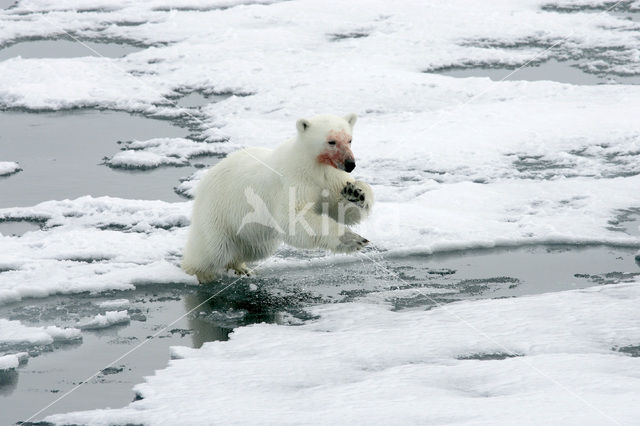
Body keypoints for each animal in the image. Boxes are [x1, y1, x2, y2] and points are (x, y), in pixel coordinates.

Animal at [180, 113, 372, 282]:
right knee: (213, 249)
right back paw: (200, 274)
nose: (350, 164)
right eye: (332, 141)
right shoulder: (293, 181)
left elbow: (340, 209)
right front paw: (352, 238)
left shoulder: (330, 179)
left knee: (253, 248)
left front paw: (356, 193)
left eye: (349, 139)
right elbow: (293, 218)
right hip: (217, 211)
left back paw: (241, 268)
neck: (312, 166)